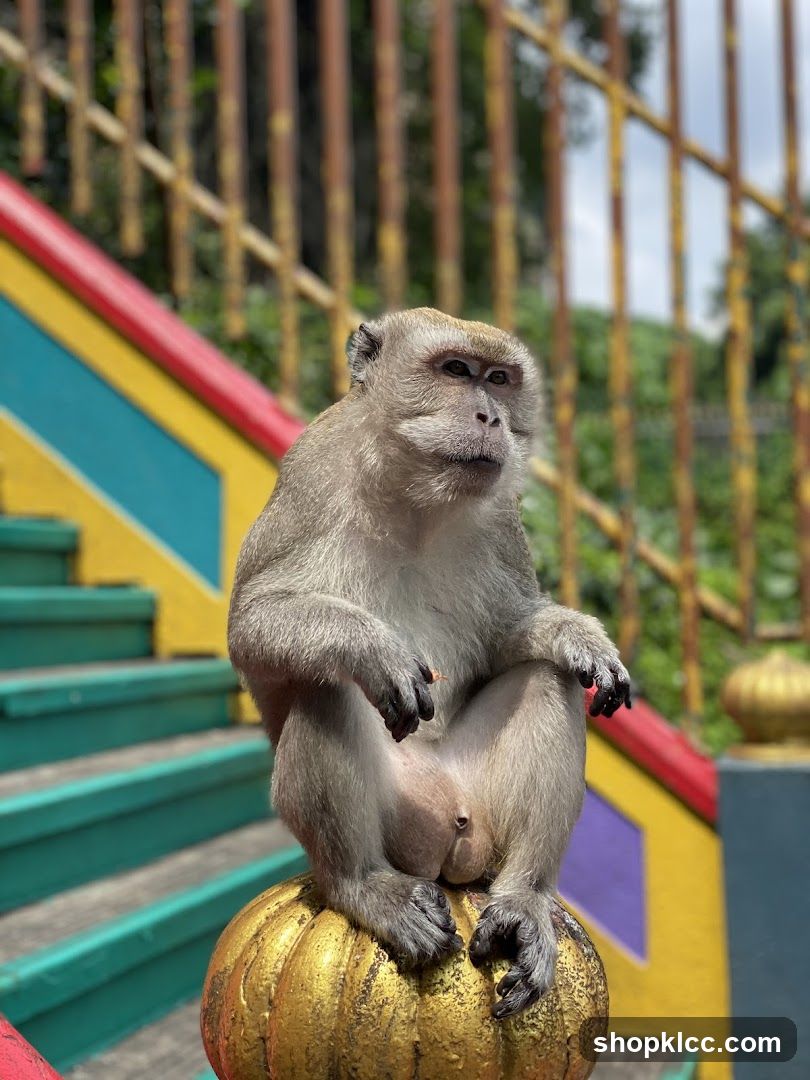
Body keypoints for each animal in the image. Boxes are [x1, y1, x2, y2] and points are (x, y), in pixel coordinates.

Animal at [228, 308, 631, 1019]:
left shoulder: (502, 519)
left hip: (478, 806)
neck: (415, 498)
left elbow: (507, 635)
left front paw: (579, 637)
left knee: (545, 681)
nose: (491, 417)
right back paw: (365, 886)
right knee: (326, 685)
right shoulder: (310, 474)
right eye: (455, 370)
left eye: (498, 380)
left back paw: (524, 899)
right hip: (401, 821)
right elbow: (252, 624)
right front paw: (373, 646)